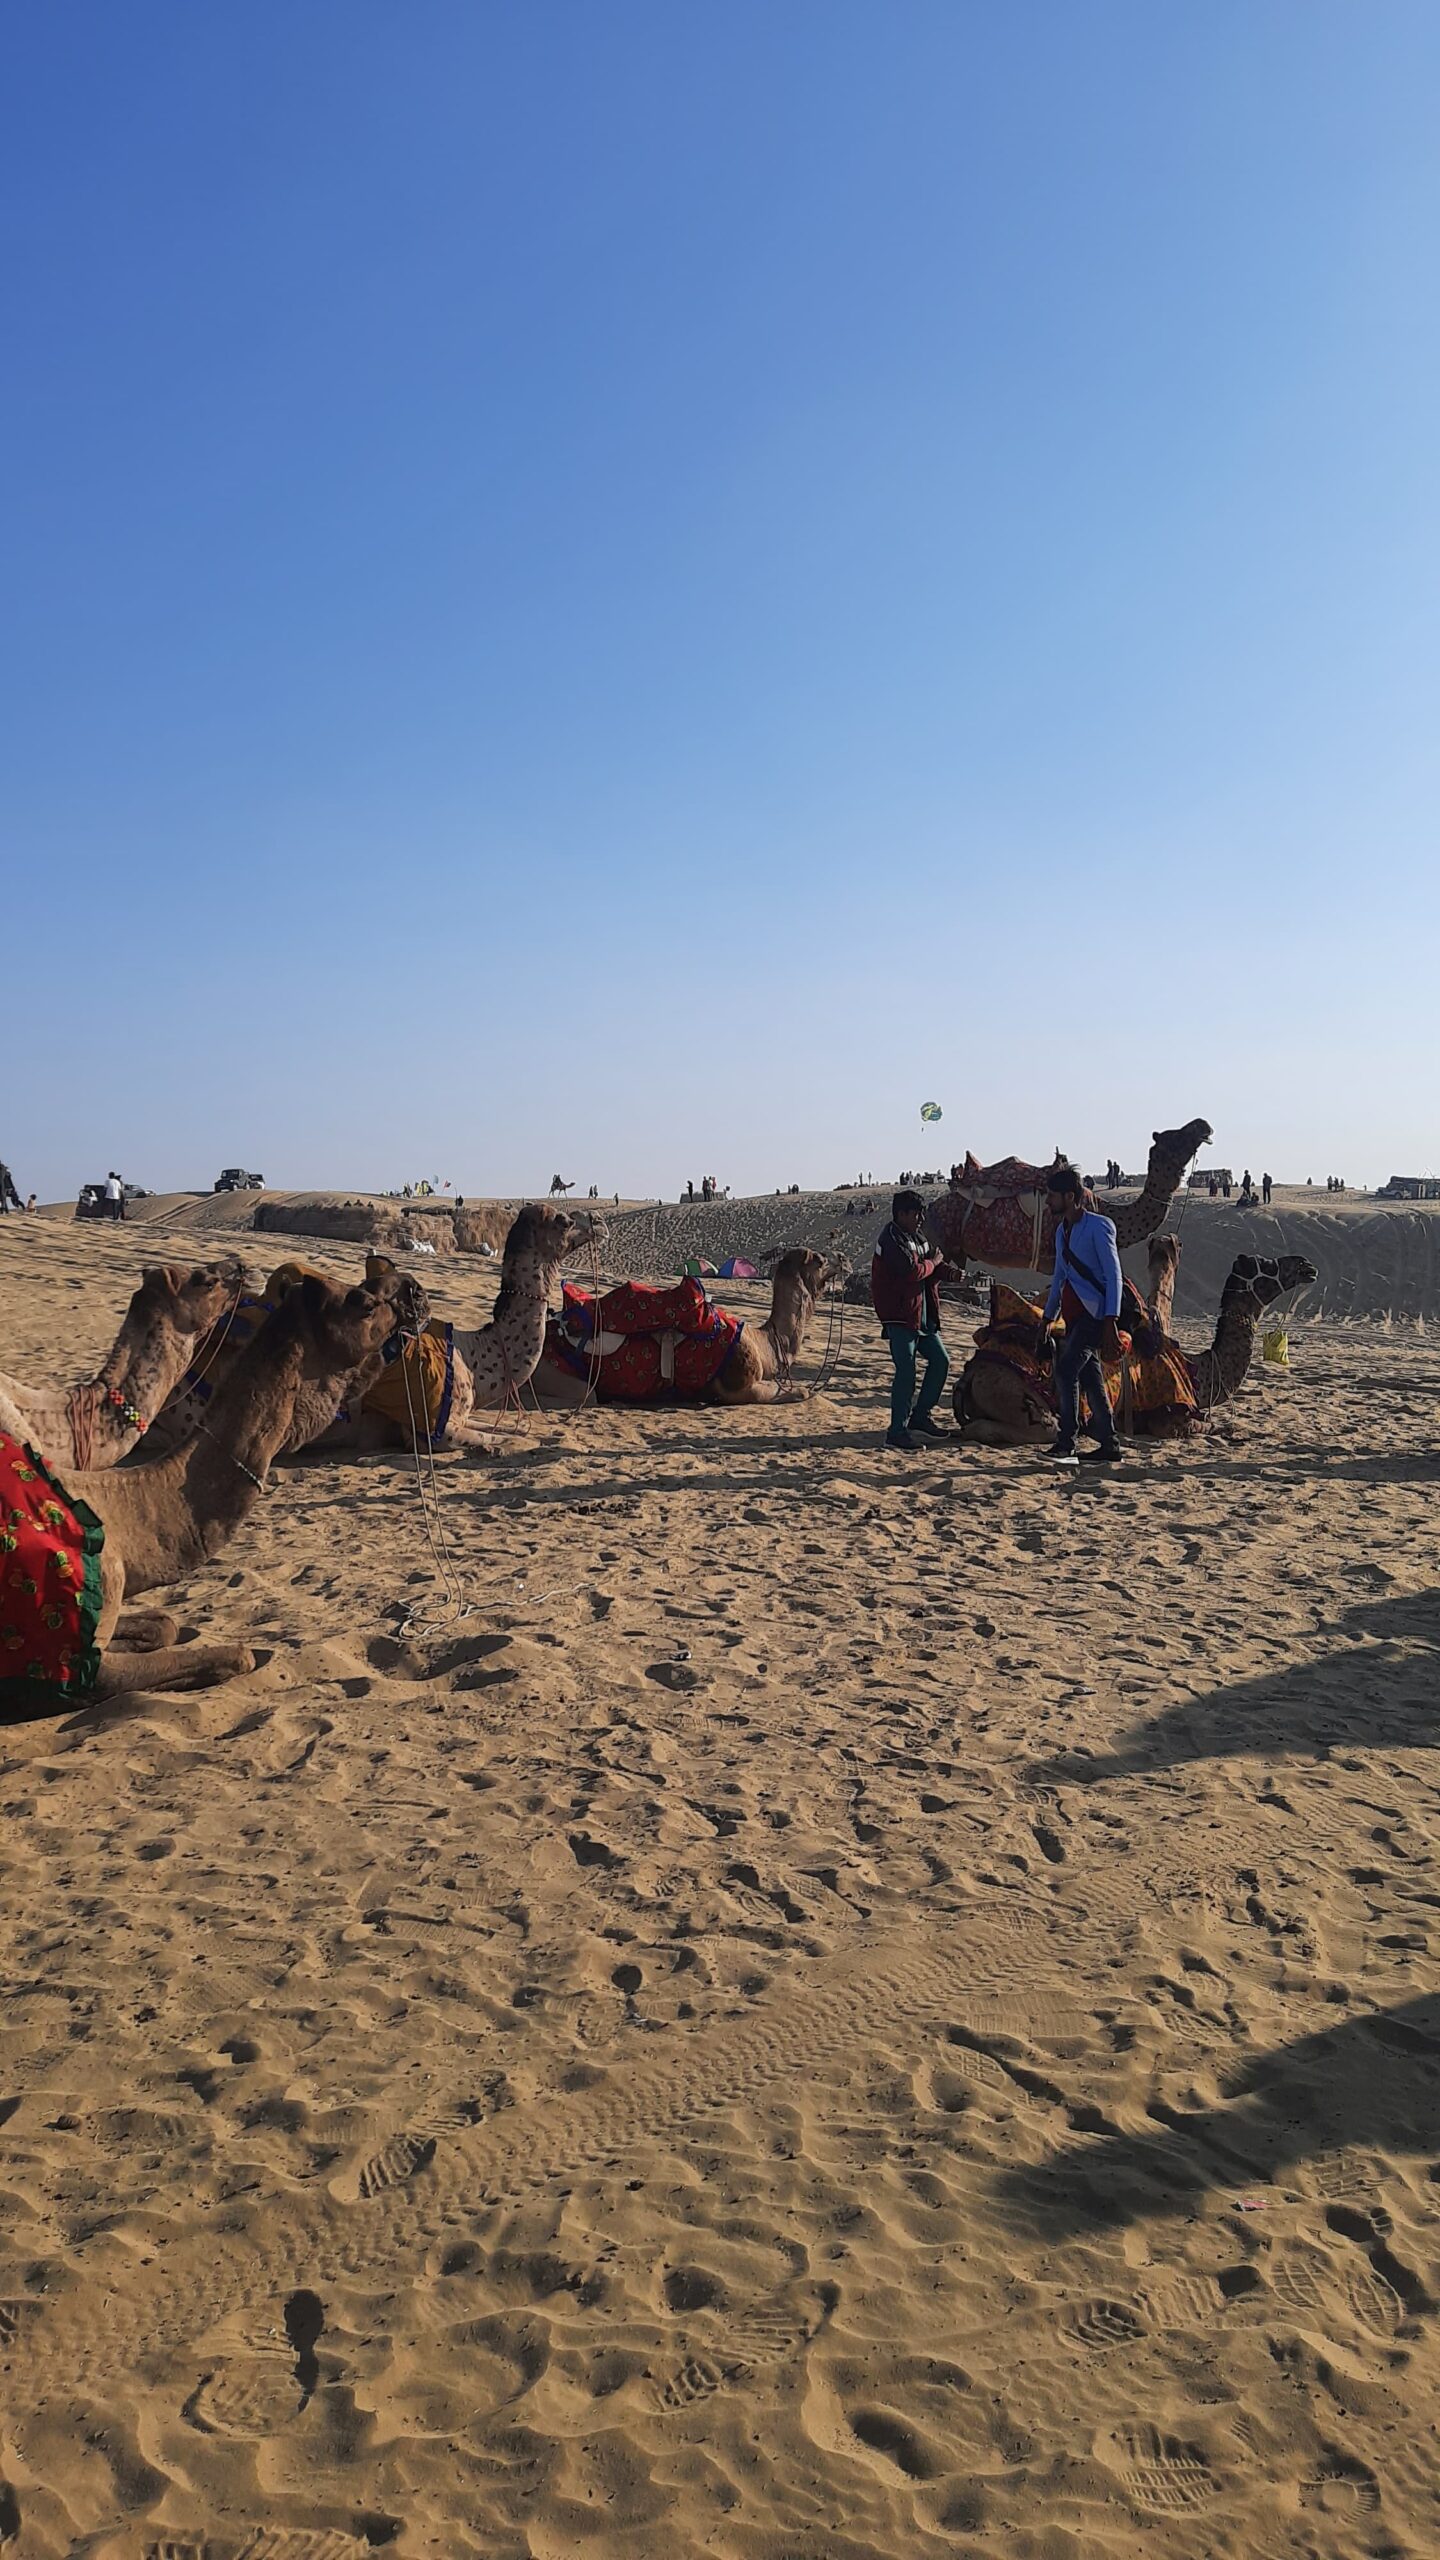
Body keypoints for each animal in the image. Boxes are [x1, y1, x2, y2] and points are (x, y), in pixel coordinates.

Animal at [953, 1244, 1311, 1454]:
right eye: (1265, 1265)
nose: (1306, 1264)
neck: (1197, 1371)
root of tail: (971, 1373)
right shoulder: (1168, 1419)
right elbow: (1213, 1425)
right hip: (1022, 1400)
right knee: (1010, 1426)